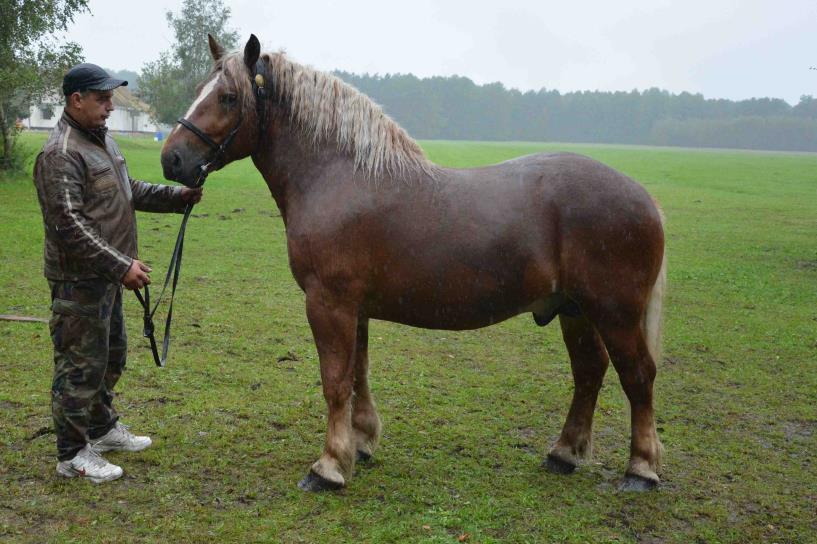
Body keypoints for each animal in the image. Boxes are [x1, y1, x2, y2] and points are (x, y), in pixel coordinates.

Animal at [163, 34, 668, 492]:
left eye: (228, 97)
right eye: (200, 89)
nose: (172, 159)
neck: (339, 176)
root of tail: (644, 196)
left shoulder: (328, 303)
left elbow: (335, 381)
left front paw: (329, 466)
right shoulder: (354, 307)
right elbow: (358, 374)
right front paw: (360, 444)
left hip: (614, 313)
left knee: (638, 376)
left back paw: (641, 469)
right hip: (574, 310)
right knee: (589, 373)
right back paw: (564, 453)